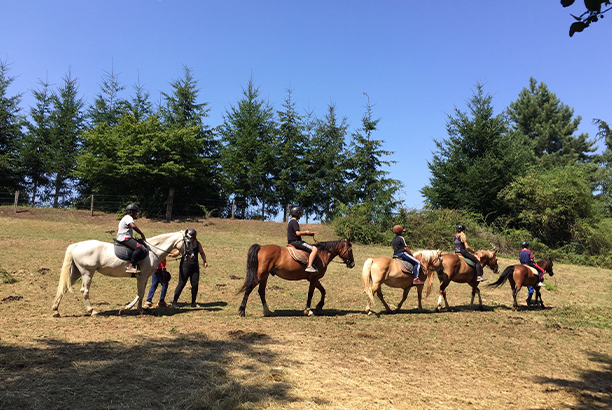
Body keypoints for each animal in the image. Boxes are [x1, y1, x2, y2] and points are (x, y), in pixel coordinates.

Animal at [52, 231, 191, 318]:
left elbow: (141, 293)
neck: (152, 251)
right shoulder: (142, 276)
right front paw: (125, 308)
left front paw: (140, 310)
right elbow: (140, 294)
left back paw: (55, 310)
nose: (192, 256)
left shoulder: (144, 277)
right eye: (189, 242)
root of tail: (77, 245)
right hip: (87, 272)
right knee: (85, 290)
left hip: (76, 272)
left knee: (64, 288)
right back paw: (92, 311)